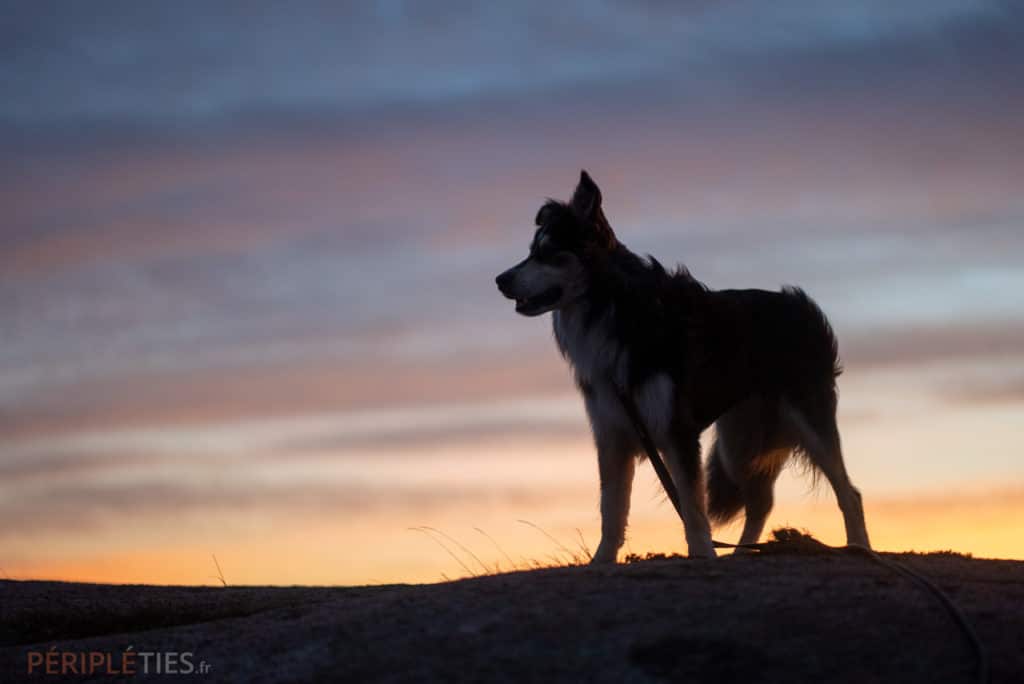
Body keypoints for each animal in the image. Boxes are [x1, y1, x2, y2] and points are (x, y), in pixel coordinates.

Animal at [495, 169, 872, 561]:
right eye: (531, 252)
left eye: (548, 253)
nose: (500, 280)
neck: (614, 309)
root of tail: (803, 306)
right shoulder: (612, 430)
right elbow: (612, 508)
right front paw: (602, 560)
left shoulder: (676, 429)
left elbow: (691, 505)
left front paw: (703, 553)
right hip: (737, 444)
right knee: (761, 502)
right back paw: (742, 554)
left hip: (808, 420)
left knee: (849, 493)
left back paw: (859, 547)